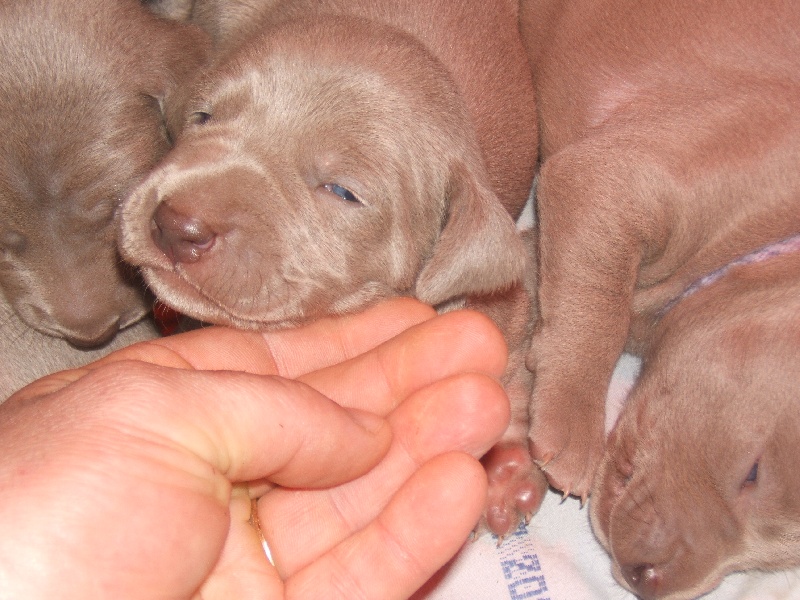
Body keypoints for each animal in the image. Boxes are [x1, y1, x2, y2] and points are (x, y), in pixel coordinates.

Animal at [117, 0, 542, 536]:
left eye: (341, 191)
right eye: (203, 116)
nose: (175, 225)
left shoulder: (504, 296)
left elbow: (510, 354)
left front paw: (504, 467)